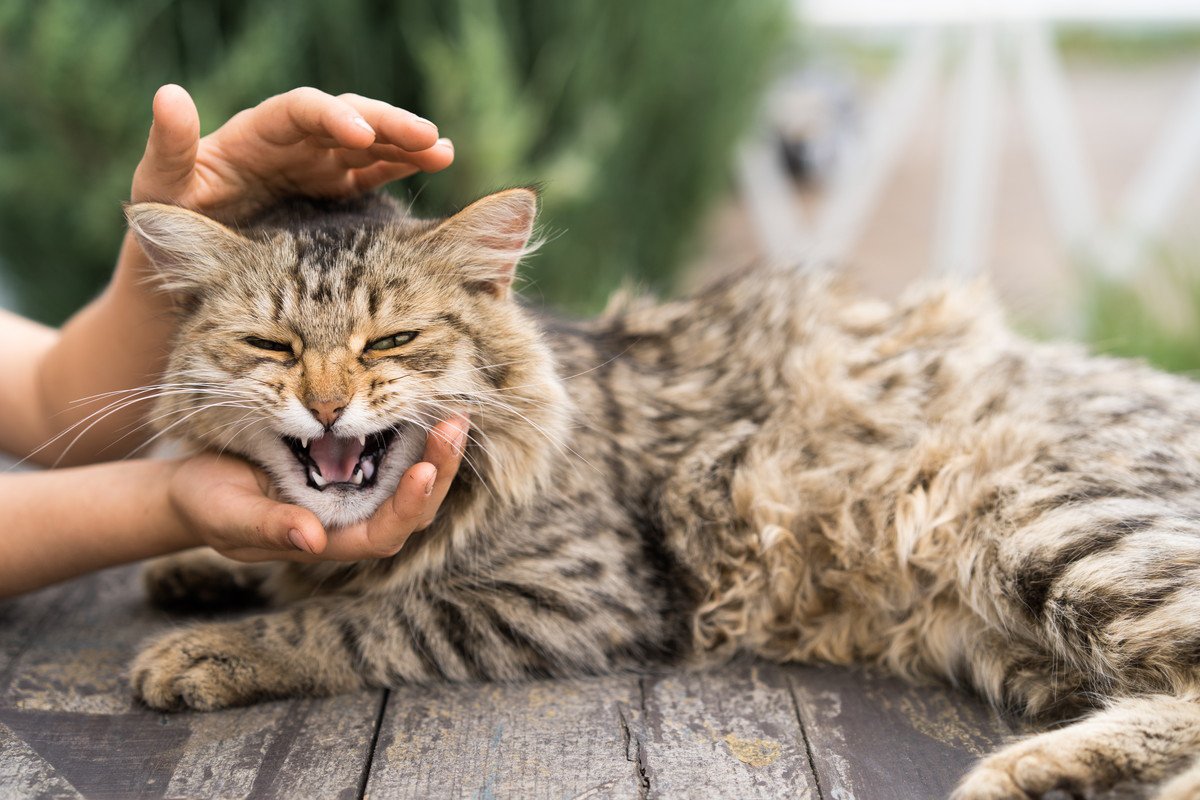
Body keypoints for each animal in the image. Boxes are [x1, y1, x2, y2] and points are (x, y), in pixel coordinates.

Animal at [121, 189, 1200, 800]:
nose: (327, 402)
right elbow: (295, 582)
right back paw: (1052, 768)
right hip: (1014, 639)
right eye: (271, 346)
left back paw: (1038, 771)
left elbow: (360, 621)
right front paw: (202, 566)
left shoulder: (574, 592)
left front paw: (216, 648)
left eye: (391, 342)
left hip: (1030, 522)